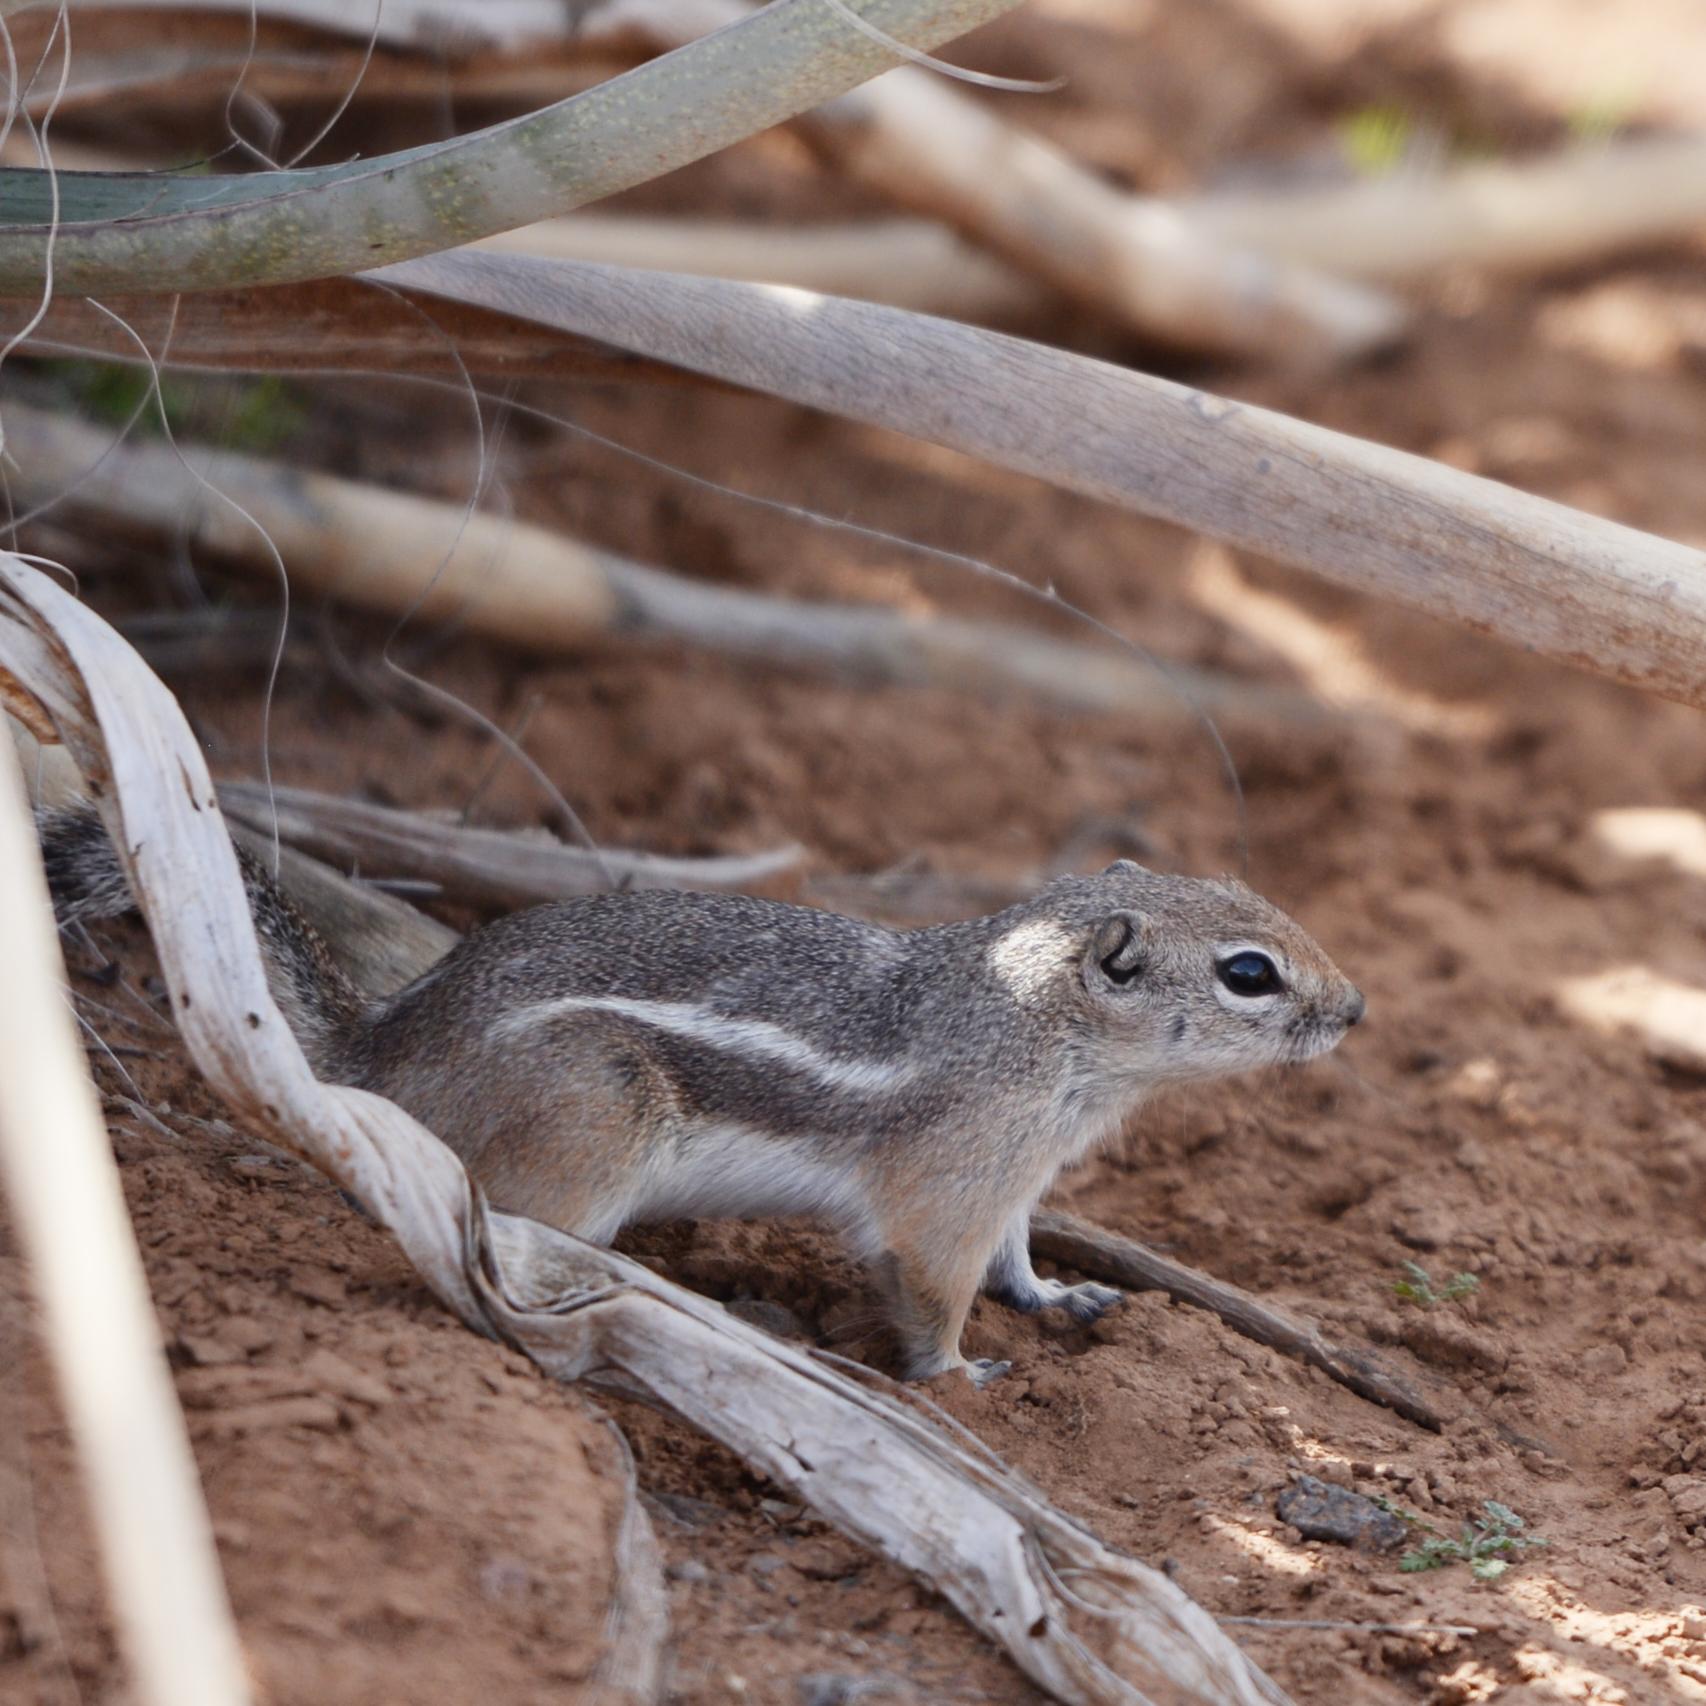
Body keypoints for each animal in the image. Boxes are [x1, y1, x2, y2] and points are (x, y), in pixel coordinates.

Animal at [42, 804, 1364, 1385]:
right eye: (1248, 973)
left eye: (1251, 892)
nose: (1352, 1009)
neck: (1036, 1024)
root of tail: (383, 1040)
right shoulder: (949, 1181)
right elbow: (933, 1286)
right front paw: (954, 1376)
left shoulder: (1015, 1179)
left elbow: (1013, 1259)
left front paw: (1059, 1295)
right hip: (592, 1122)